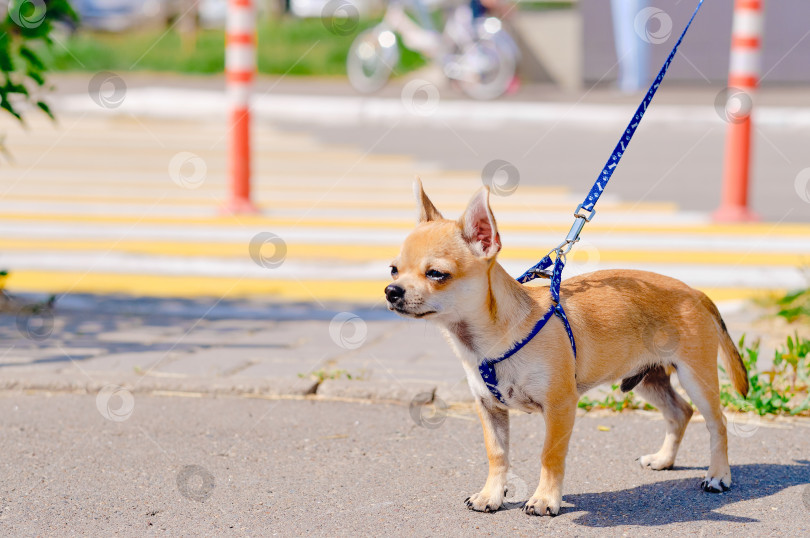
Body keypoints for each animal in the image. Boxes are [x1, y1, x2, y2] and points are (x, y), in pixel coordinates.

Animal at [382, 181, 748, 516]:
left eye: (436, 274)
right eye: (393, 269)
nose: (390, 291)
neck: (486, 340)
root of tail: (694, 291)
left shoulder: (560, 408)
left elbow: (550, 455)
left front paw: (545, 500)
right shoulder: (489, 409)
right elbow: (497, 454)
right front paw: (491, 495)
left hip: (696, 378)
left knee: (717, 423)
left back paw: (718, 476)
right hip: (647, 379)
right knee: (679, 412)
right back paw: (664, 459)